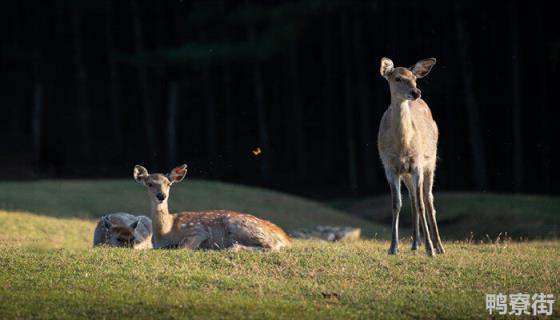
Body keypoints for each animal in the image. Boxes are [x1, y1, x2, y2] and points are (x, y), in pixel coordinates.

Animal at [131, 164, 288, 251]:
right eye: (149, 184)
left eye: (168, 184)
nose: (161, 195)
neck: (165, 232)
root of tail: (285, 238)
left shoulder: (198, 230)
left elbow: (183, 247)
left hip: (239, 226)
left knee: (271, 246)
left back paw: (231, 248)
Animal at [376, 58, 446, 258]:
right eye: (397, 78)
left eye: (414, 78)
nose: (416, 92)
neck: (402, 146)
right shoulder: (390, 168)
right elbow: (396, 204)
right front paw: (393, 247)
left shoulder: (417, 165)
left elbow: (422, 204)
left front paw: (430, 249)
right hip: (406, 174)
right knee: (414, 199)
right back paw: (415, 243)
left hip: (431, 162)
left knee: (428, 199)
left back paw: (438, 246)